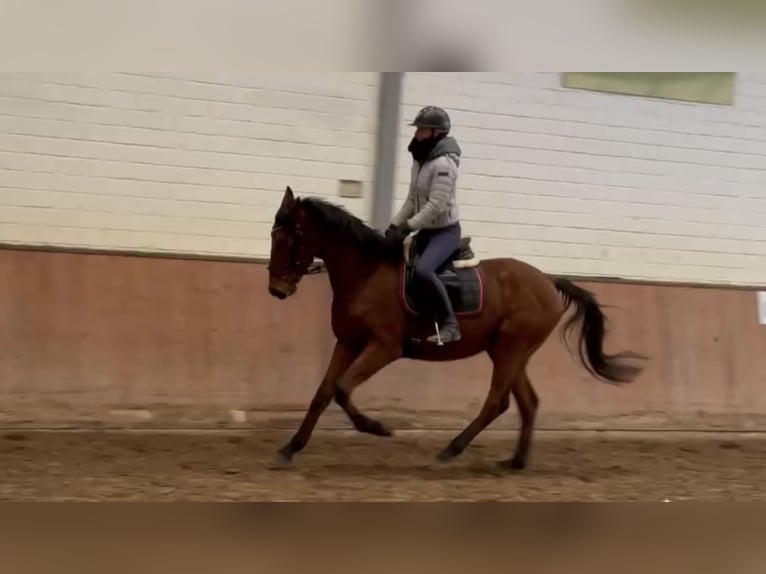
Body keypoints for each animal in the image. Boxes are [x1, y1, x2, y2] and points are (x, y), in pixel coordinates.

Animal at [268, 187, 644, 470]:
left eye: (291, 237)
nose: (276, 290)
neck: (366, 274)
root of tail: (548, 281)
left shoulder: (384, 347)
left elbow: (342, 388)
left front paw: (376, 428)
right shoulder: (347, 343)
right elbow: (323, 393)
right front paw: (290, 448)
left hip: (510, 349)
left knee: (497, 402)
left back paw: (451, 449)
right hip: (511, 352)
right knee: (528, 402)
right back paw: (515, 462)